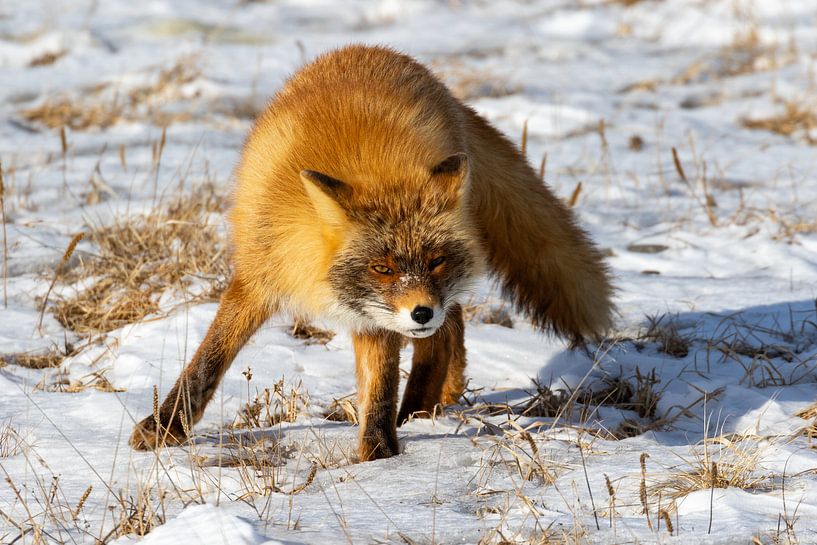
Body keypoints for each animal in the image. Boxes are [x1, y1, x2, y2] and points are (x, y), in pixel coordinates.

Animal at [129, 44, 614, 461]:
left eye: (435, 261)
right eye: (382, 268)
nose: (421, 312)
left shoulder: (377, 319)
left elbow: (379, 389)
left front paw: (380, 457)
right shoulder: (260, 276)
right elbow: (208, 361)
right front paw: (165, 426)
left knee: (443, 336)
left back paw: (419, 411)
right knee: (451, 329)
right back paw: (438, 400)